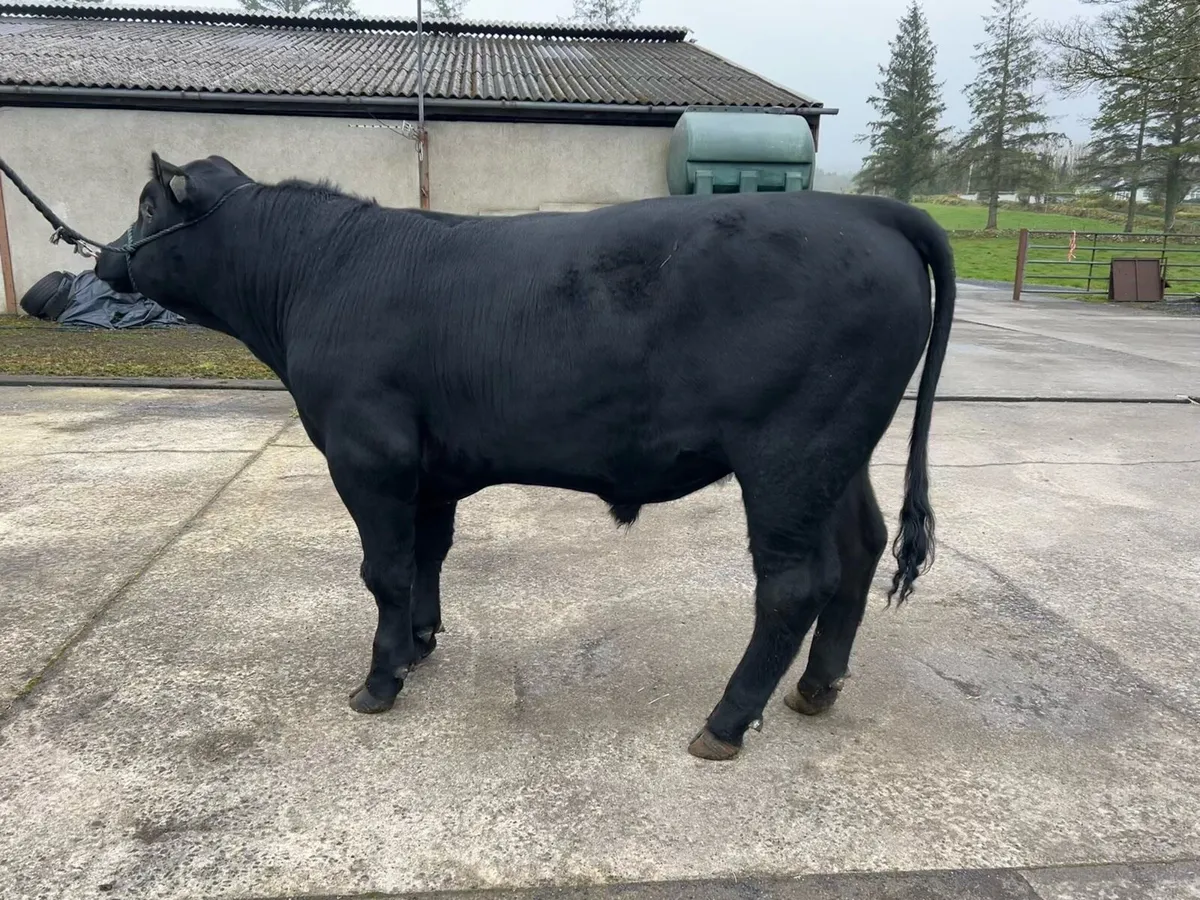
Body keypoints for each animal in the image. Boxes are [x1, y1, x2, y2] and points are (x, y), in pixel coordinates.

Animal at [95, 153, 954, 761]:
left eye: (145, 206)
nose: (104, 258)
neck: (320, 272)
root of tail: (860, 207)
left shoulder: (367, 450)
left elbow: (384, 569)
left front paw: (379, 679)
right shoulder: (426, 466)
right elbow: (427, 554)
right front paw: (420, 643)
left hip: (787, 454)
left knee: (791, 586)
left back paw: (726, 721)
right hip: (838, 453)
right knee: (859, 548)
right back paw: (817, 686)